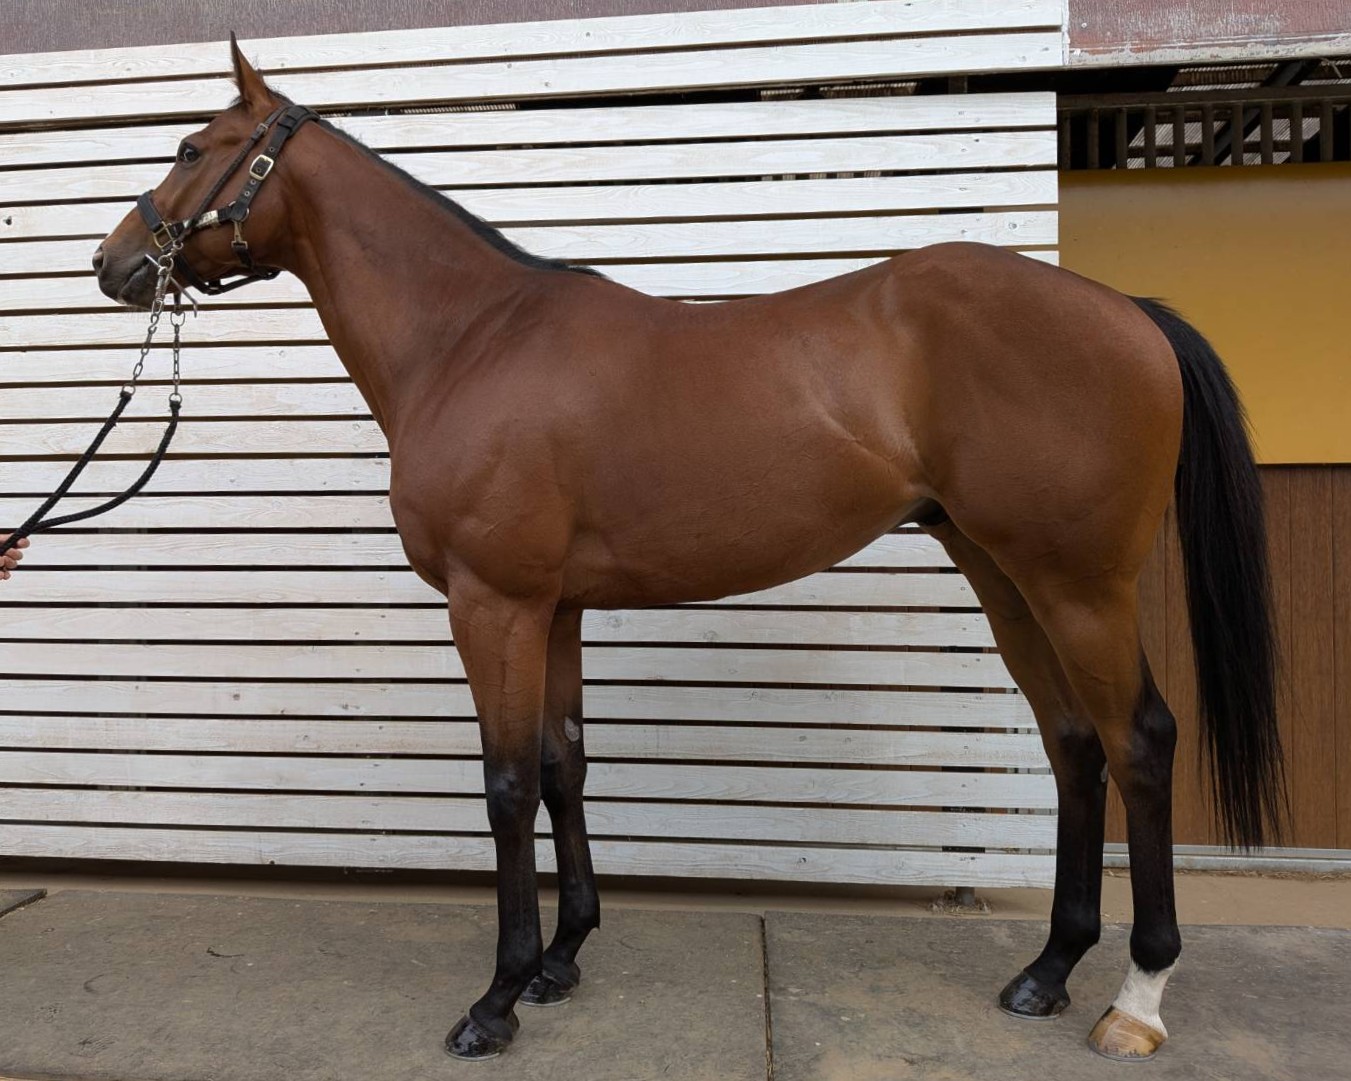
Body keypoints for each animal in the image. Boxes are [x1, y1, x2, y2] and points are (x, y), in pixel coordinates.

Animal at [92, 38, 1283, 1063]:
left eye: (191, 148)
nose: (113, 263)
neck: (470, 340)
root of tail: (1125, 311)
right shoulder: (554, 606)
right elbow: (565, 764)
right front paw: (561, 960)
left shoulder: (493, 602)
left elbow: (507, 783)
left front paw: (496, 996)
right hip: (1005, 575)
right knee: (1073, 744)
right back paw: (1046, 970)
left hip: (1079, 584)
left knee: (1139, 742)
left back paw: (1135, 1000)